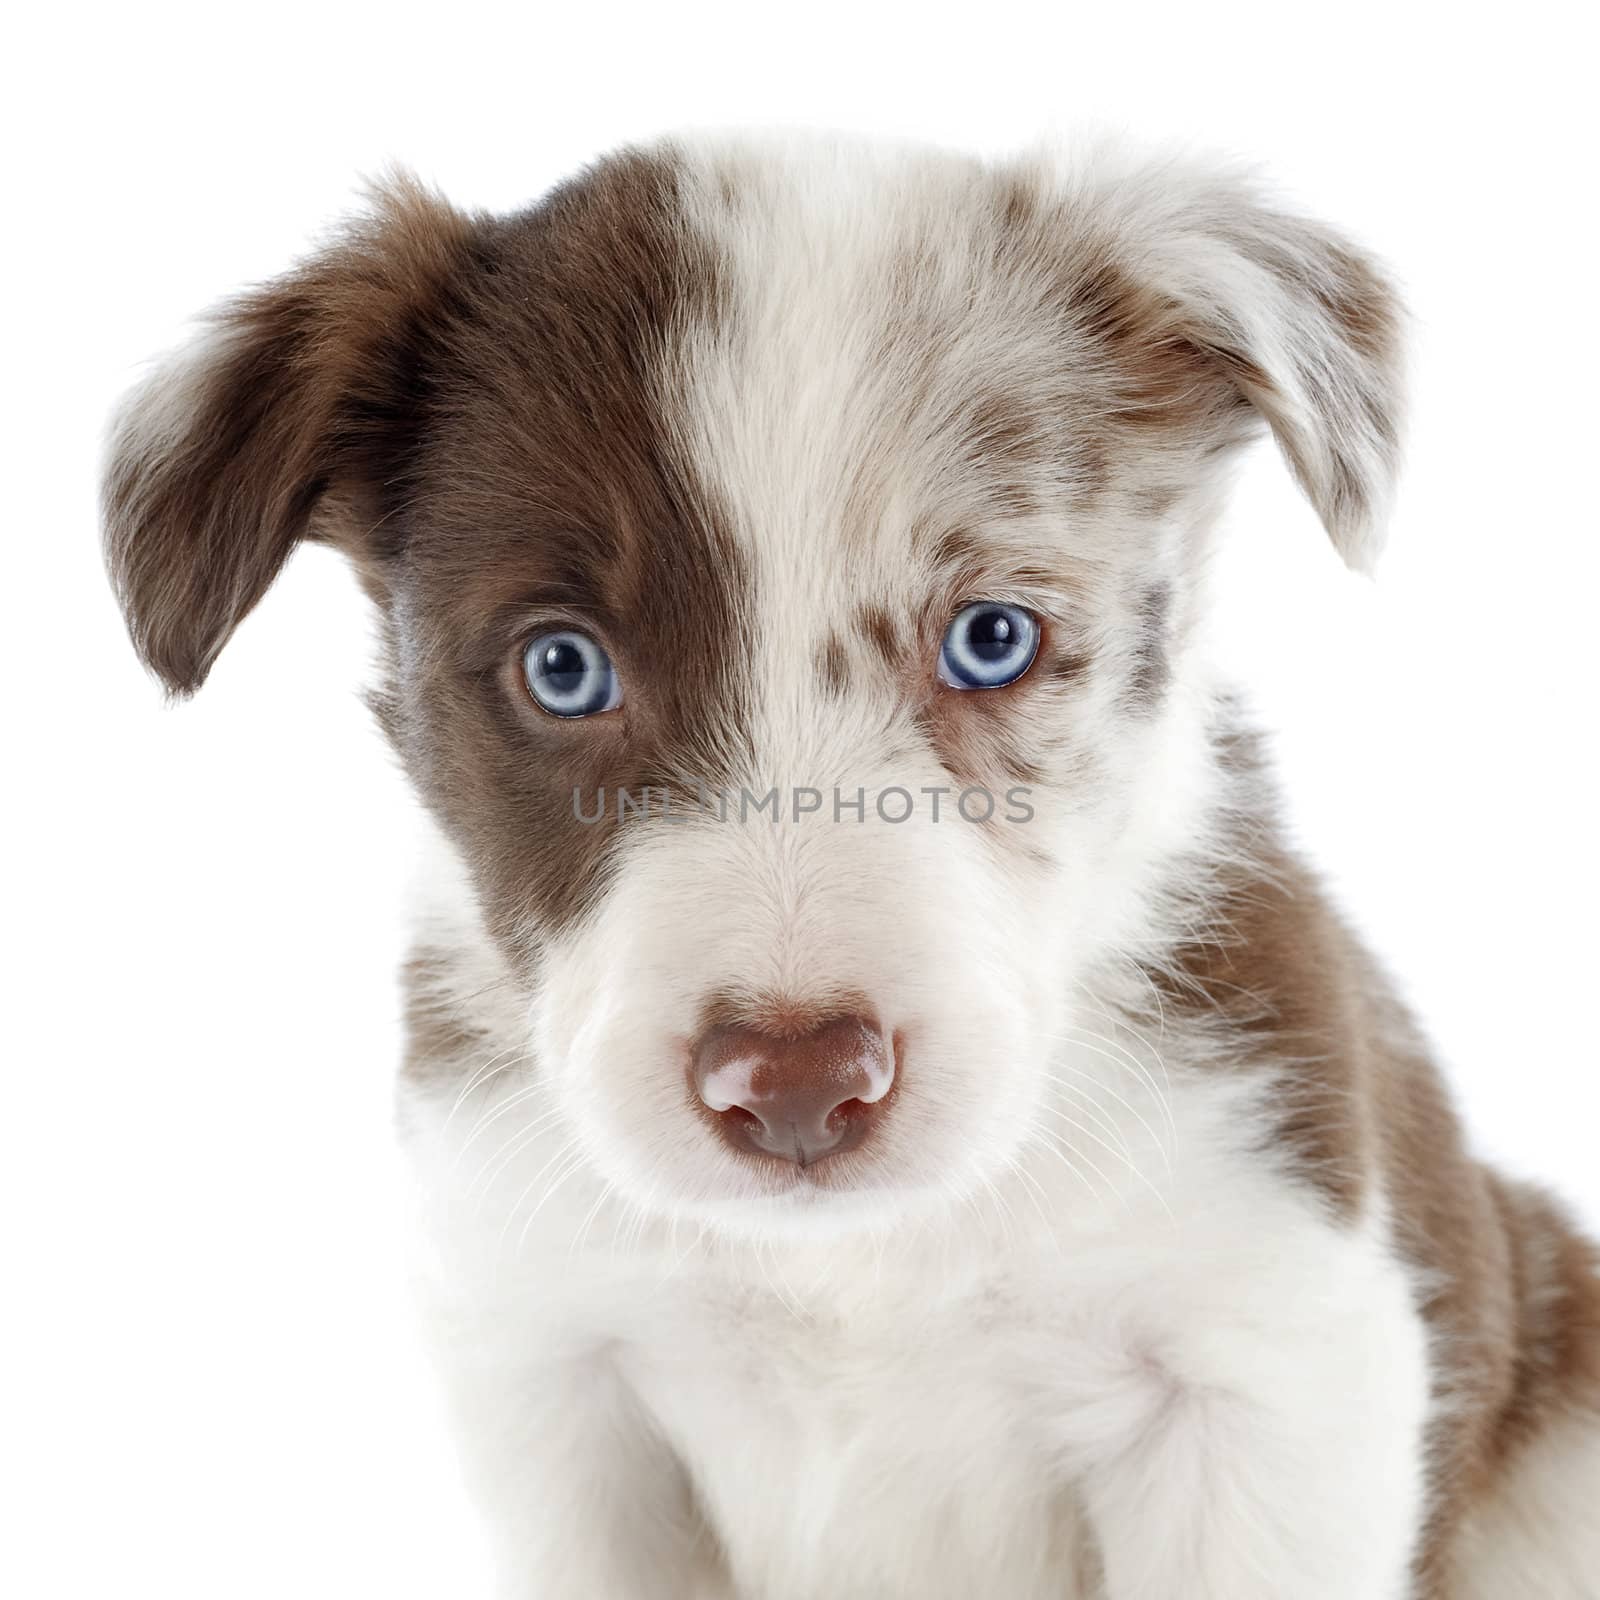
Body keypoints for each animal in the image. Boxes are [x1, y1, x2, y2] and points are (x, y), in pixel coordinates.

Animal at [103, 137, 1600, 1600]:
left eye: (992, 638)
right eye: (562, 667)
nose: (796, 1083)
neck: (851, 1265)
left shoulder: (1264, 1363)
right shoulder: (555, 1380)